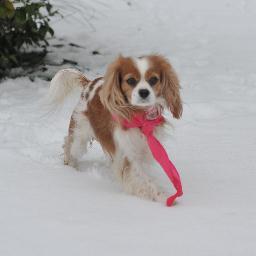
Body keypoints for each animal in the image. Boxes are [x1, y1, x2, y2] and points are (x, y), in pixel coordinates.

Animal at [49, 54, 182, 204]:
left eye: (153, 79)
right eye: (130, 80)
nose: (144, 92)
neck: (139, 117)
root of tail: (90, 83)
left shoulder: (143, 150)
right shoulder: (129, 157)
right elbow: (144, 180)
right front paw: (165, 197)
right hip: (80, 136)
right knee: (69, 143)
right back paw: (70, 166)